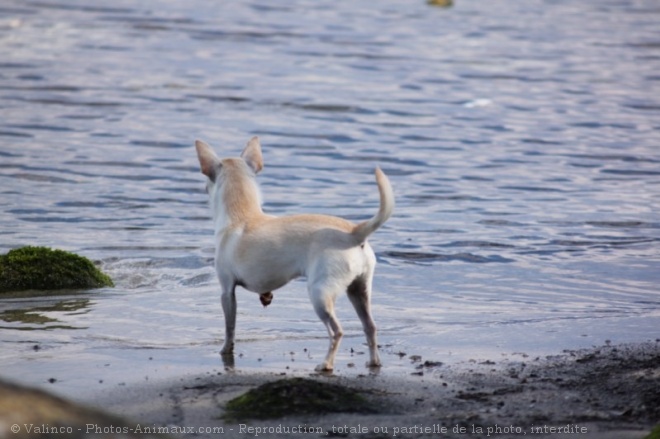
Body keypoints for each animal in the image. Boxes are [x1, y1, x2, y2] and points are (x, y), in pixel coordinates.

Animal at [193, 138, 394, 372]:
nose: (204, 190)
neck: (242, 215)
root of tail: (353, 232)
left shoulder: (227, 290)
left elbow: (230, 327)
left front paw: (225, 350)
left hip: (320, 294)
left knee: (337, 331)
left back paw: (326, 364)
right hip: (359, 290)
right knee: (370, 326)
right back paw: (374, 362)